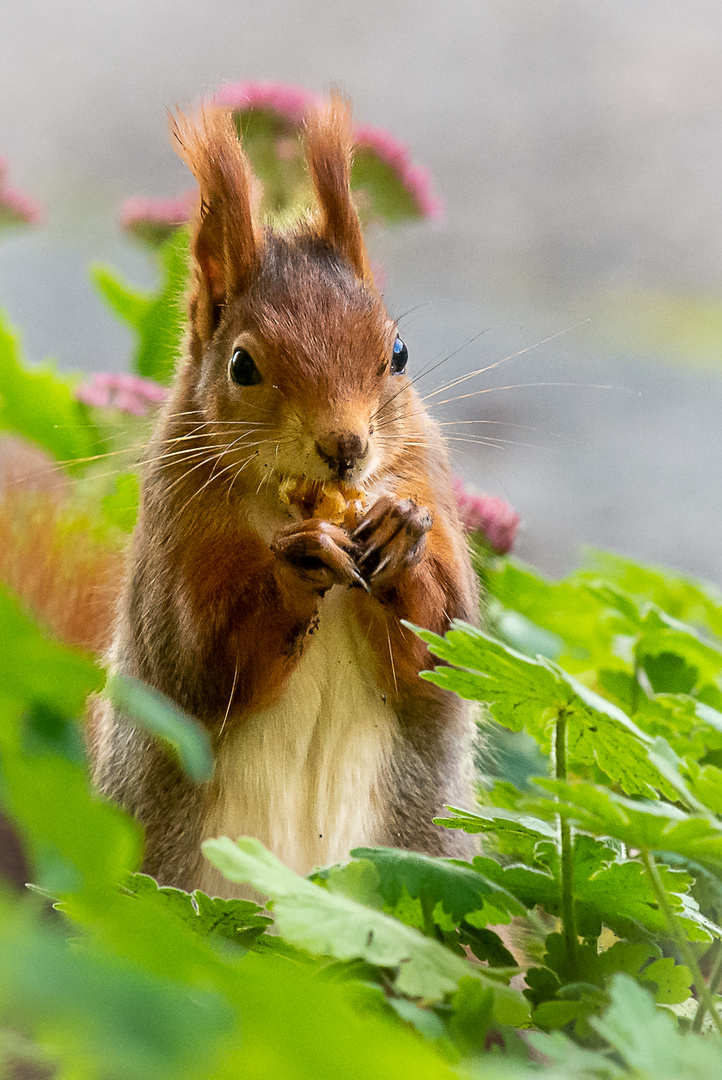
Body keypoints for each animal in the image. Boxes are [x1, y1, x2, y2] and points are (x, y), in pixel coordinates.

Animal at [85, 99, 479, 894]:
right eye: (242, 364)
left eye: (399, 354)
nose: (346, 447)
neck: (291, 503)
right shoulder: (176, 532)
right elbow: (201, 663)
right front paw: (299, 565)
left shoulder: (425, 475)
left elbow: (445, 644)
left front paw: (402, 535)